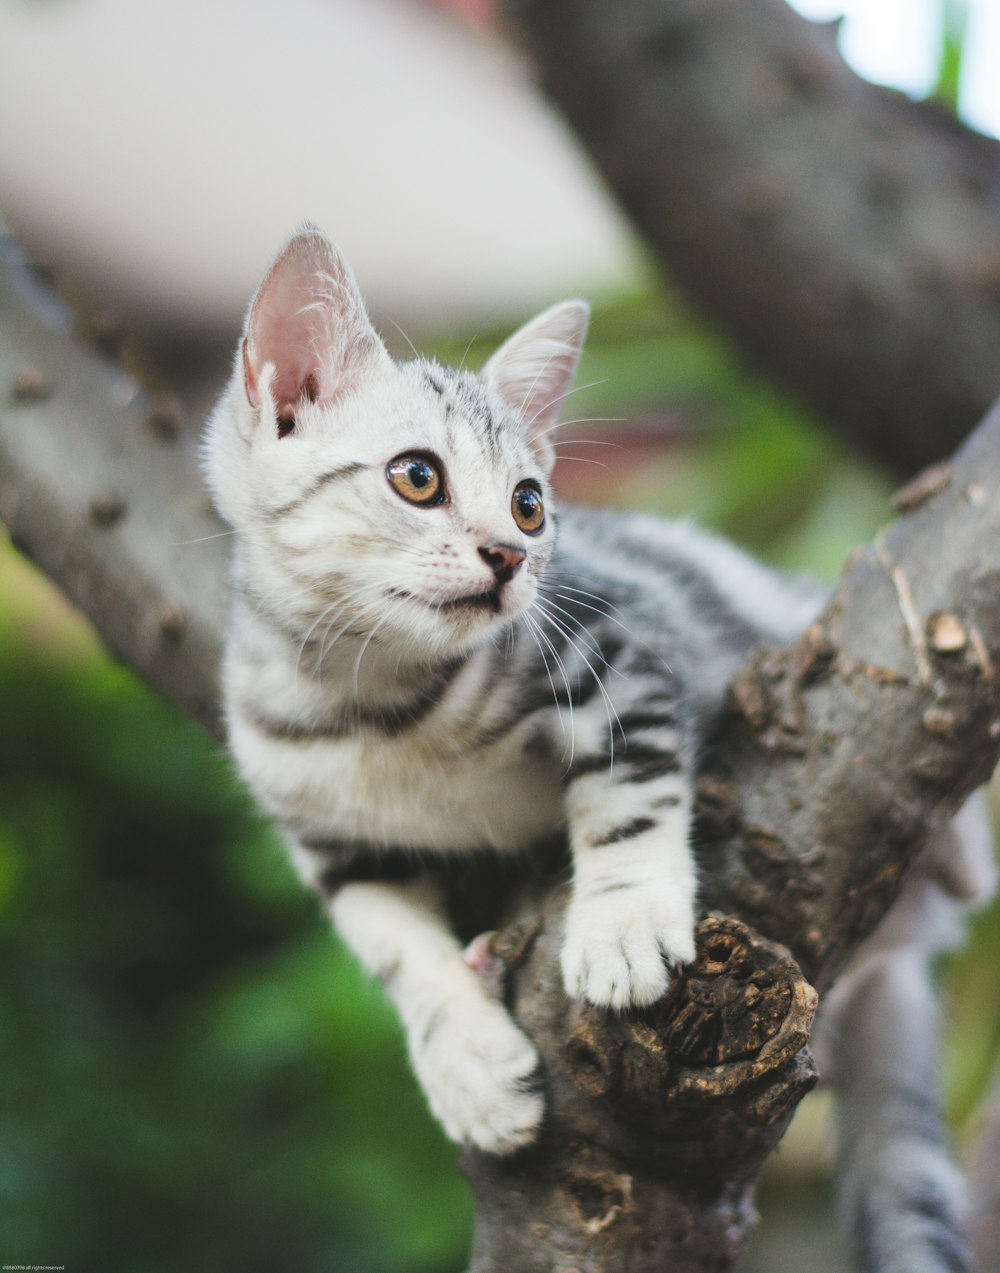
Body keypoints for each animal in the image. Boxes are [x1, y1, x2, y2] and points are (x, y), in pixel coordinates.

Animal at [204, 231, 987, 1273]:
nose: (509, 556)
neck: (385, 708)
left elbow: (630, 796)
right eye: (418, 477)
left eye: (531, 504)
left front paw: (621, 924)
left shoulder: (619, 651)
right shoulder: (325, 834)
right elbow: (393, 946)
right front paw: (464, 1058)